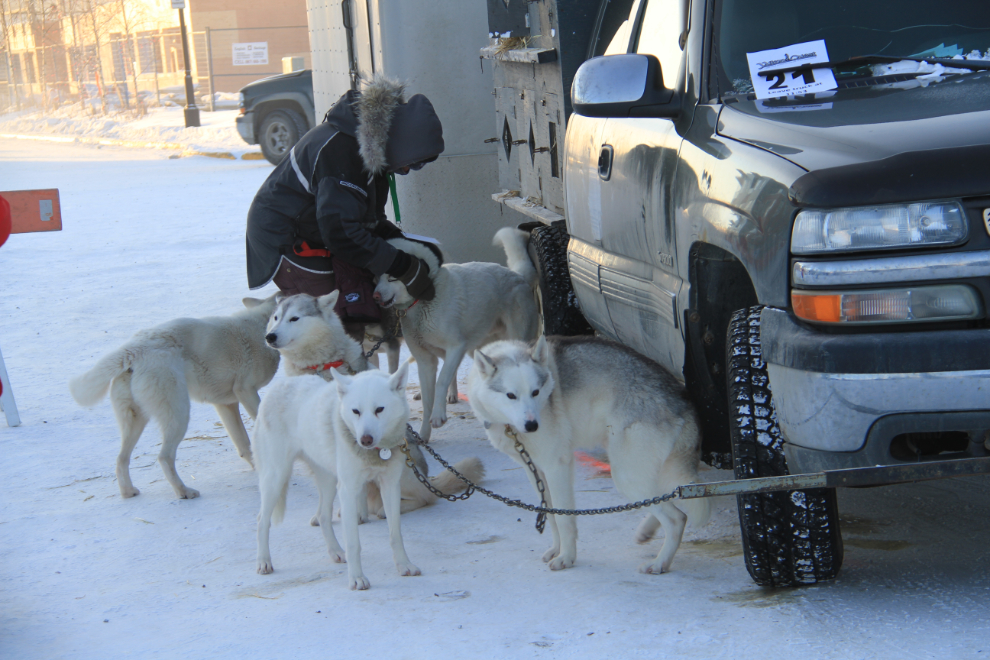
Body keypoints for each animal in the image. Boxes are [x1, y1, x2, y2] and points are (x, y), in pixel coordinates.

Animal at [69, 296, 280, 498]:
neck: (261, 326)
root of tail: (133, 351)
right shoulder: (247, 391)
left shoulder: (226, 404)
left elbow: (243, 443)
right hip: (179, 415)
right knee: (164, 457)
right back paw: (184, 491)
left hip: (135, 421)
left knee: (121, 459)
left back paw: (129, 492)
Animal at [252, 364, 422, 592]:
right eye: (356, 411)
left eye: (379, 409)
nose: (365, 440)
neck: (375, 452)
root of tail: (277, 386)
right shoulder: (349, 491)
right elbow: (354, 543)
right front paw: (357, 578)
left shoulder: (390, 487)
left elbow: (396, 534)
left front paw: (404, 565)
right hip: (276, 478)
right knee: (262, 520)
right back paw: (264, 561)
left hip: (329, 481)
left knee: (324, 517)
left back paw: (336, 552)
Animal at [262, 292, 482, 520]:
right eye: (276, 318)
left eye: (294, 318)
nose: (270, 336)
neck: (320, 367)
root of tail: (428, 478)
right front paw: (324, 516)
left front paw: (357, 517)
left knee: (424, 497)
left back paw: (386, 509)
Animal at [374, 228, 544, 444]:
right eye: (376, 277)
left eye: (392, 277)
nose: (375, 296)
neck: (422, 302)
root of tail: (518, 276)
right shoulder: (425, 361)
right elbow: (428, 399)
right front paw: (424, 434)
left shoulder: (456, 348)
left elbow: (441, 381)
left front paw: (439, 416)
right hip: (478, 350)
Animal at [468, 336, 708, 572]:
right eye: (511, 396)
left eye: (535, 392)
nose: (532, 425)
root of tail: (682, 398)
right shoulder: (535, 470)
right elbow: (551, 516)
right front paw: (557, 550)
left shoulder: (557, 467)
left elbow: (563, 518)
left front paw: (566, 558)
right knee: (666, 497)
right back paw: (647, 532)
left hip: (626, 475)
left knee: (677, 518)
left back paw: (660, 563)